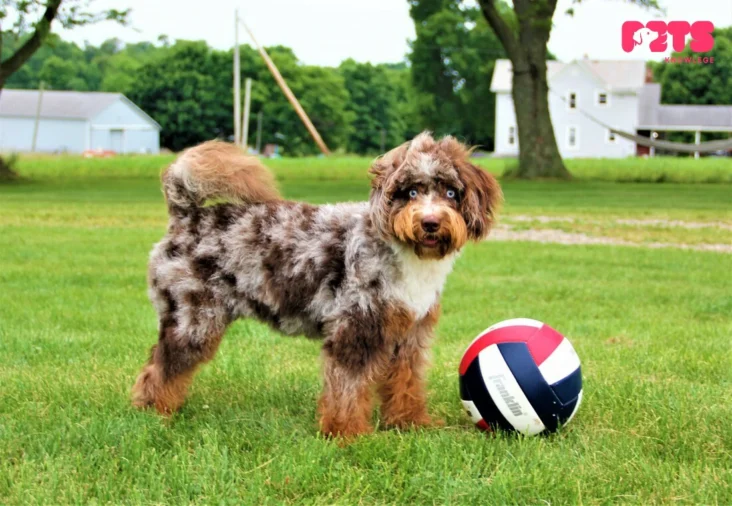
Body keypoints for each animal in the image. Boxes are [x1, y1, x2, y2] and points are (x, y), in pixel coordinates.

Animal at [132, 132, 500, 436]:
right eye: (410, 192)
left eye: (451, 192)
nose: (430, 222)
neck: (404, 253)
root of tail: (185, 216)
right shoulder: (355, 327)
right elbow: (348, 387)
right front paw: (346, 433)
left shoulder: (410, 333)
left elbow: (406, 381)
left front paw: (409, 423)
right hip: (194, 318)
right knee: (162, 367)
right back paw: (153, 411)